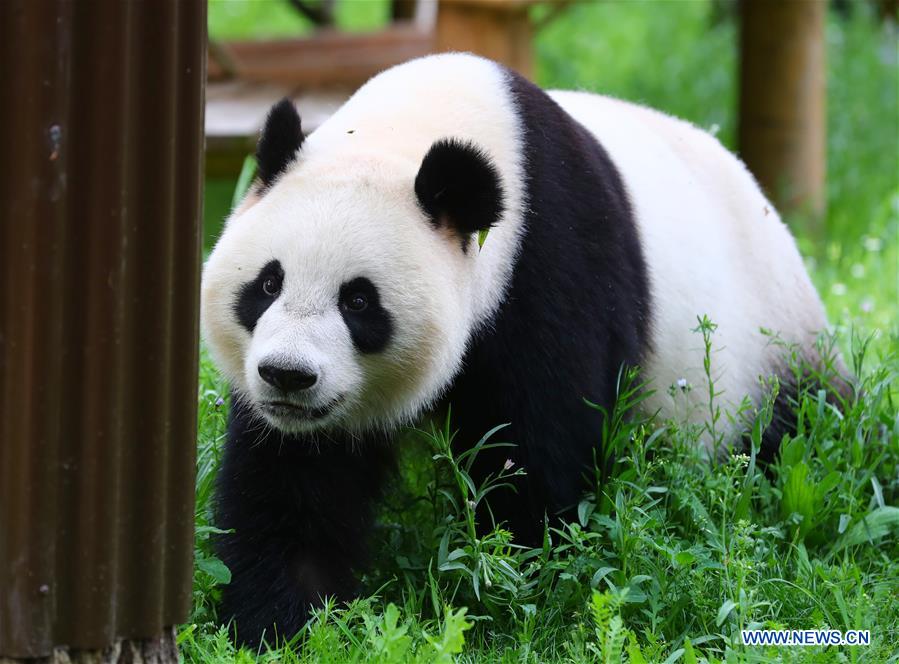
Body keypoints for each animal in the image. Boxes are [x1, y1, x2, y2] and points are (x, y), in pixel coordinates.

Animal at [201, 53, 833, 646]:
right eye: (268, 284)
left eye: (358, 302)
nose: (288, 375)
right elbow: (294, 481)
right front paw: (281, 623)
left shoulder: (548, 263)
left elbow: (541, 448)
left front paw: (518, 588)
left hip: (768, 351)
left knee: (796, 432)